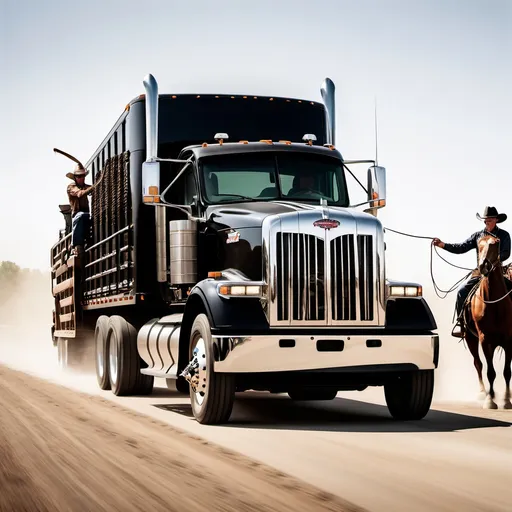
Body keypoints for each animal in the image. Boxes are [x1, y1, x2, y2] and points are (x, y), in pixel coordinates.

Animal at [466, 235, 510, 408]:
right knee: (478, 363)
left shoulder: (509, 340)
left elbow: (507, 372)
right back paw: (482, 393)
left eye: (494, 245)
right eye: (479, 245)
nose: (483, 266)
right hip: (470, 338)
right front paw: (490, 401)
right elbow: (490, 372)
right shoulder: (485, 340)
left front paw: (506, 399)